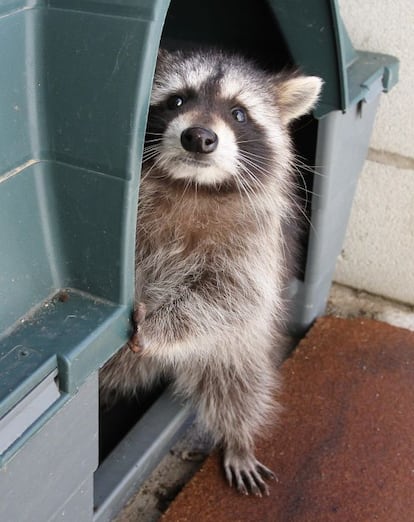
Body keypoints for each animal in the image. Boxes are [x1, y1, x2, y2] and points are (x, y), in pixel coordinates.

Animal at [99, 47, 320, 492]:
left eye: (238, 113)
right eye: (177, 100)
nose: (199, 137)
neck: (191, 184)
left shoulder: (257, 243)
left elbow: (234, 294)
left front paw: (159, 326)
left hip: (236, 346)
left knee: (238, 385)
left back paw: (238, 438)